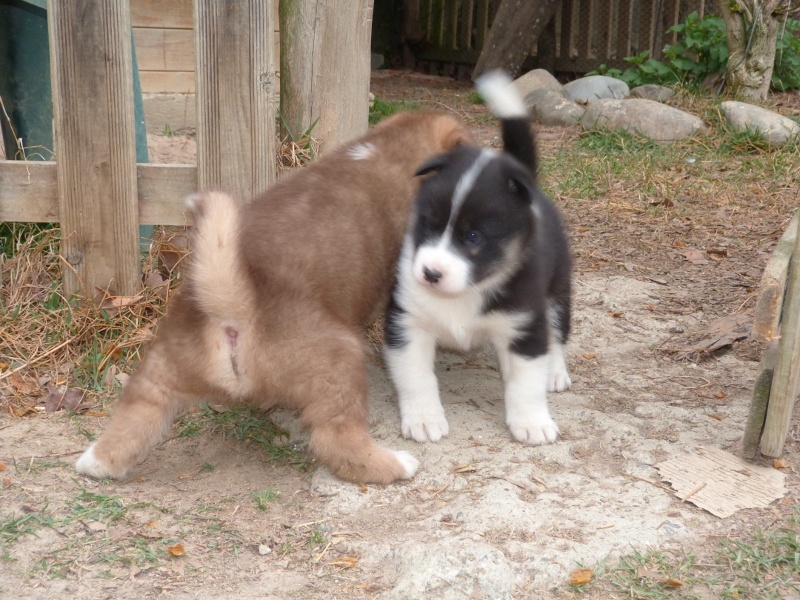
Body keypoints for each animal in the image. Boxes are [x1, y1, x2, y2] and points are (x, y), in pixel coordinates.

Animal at [75, 110, 471, 485]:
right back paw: (396, 464)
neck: (389, 147)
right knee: (337, 441)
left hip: (161, 373)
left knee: (132, 420)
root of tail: (234, 308)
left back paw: (94, 462)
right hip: (340, 360)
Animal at [383, 71, 572, 446]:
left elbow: (527, 383)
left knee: (557, 333)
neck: (464, 293)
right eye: (429, 224)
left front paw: (532, 422)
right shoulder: (406, 322)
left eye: (473, 237)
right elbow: (416, 377)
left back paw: (555, 373)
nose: (430, 273)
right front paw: (424, 419)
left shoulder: (525, 323)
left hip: (558, 289)